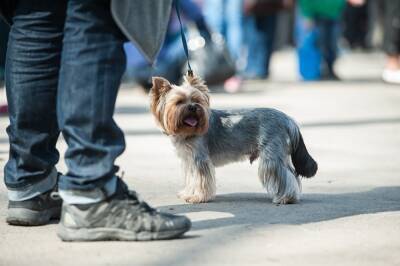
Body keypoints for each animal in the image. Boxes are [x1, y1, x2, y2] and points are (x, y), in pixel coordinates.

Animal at [148, 74, 318, 204]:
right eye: (179, 102)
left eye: (197, 100)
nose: (193, 107)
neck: (188, 131)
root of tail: (288, 119)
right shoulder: (189, 161)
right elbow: (192, 179)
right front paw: (188, 193)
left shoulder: (199, 159)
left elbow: (200, 180)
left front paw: (198, 197)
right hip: (281, 155)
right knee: (292, 174)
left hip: (272, 157)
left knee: (284, 175)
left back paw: (286, 198)